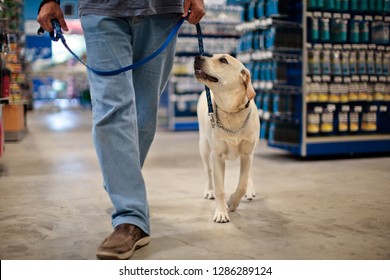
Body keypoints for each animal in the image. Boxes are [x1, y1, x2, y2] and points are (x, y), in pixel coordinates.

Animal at [194, 54, 258, 223]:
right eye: (211, 56)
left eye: (223, 60)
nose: (197, 57)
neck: (231, 112)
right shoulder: (218, 157)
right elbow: (220, 188)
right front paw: (221, 212)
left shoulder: (247, 153)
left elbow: (242, 183)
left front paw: (233, 201)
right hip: (203, 146)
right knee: (207, 170)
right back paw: (209, 190)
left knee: (248, 173)